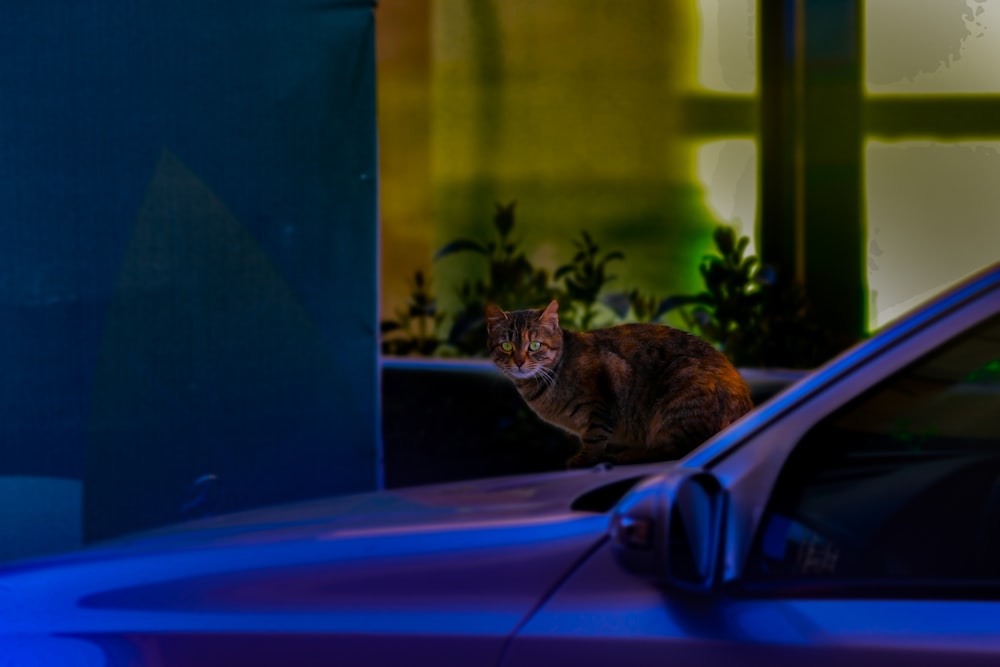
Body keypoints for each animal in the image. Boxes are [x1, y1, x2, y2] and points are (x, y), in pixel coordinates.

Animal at [484, 300, 752, 468]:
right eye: (506, 346)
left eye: (535, 345)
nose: (519, 362)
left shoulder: (601, 399)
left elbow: (594, 437)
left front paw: (584, 459)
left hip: (678, 398)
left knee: (680, 448)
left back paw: (630, 455)